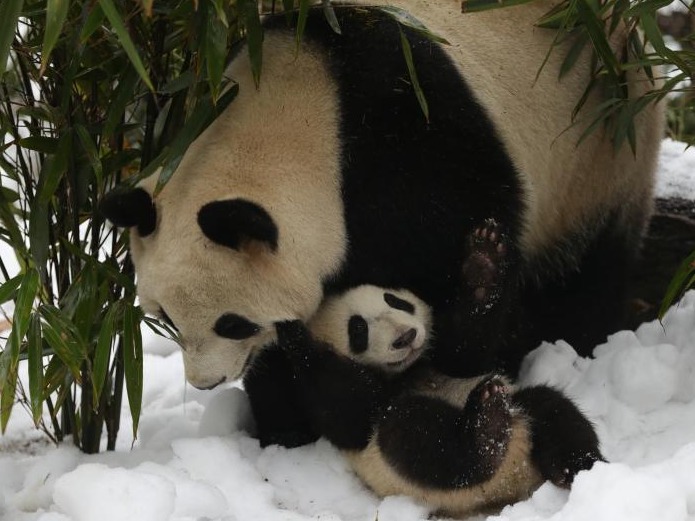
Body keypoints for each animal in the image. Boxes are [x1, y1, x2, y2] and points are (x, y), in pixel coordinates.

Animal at [102, 2, 664, 442]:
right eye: (166, 319)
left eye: (232, 322)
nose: (205, 383)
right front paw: (286, 428)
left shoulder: (420, 158)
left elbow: (461, 314)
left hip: (601, 156)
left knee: (587, 269)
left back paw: (577, 341)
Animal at [256, 284, 604, 516]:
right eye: (358, 329)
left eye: (396, 301)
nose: (405, 337)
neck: (407, 372)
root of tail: (512, 483)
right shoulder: (349, 417)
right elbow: (347, 411)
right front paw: (293, 335)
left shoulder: (441, 358)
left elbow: (468, 350)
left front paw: (485, 264)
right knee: (415, 436)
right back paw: (486, 429)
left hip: (523, 413)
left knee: (553, 411)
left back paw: (580, 468)